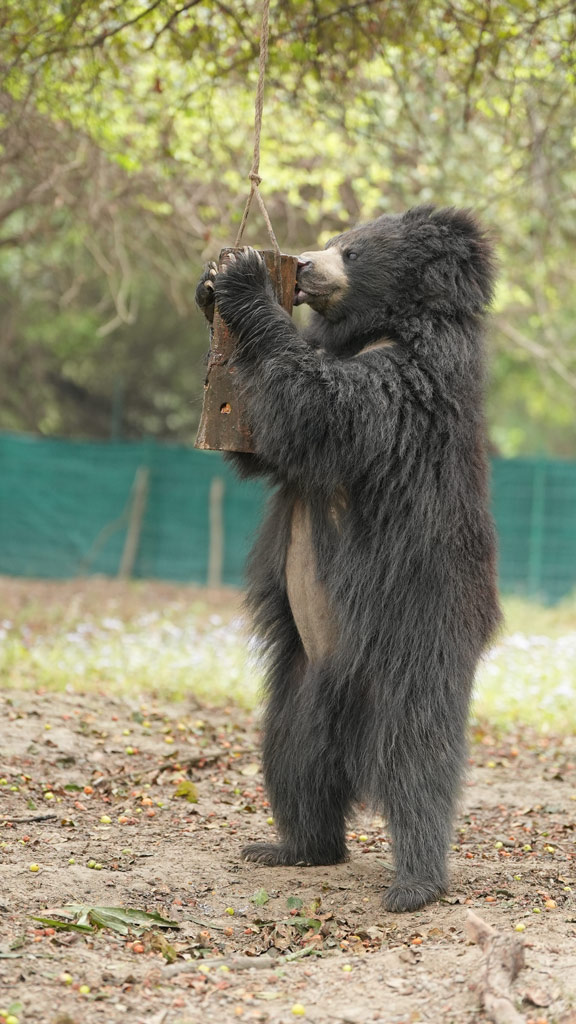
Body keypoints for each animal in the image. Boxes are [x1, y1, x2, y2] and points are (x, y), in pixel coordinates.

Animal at [195, 204, 502, 912]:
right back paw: (292, 848)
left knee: (418, 765)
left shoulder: (405, 388)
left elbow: (314, 406)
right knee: (291, 759)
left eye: (354, 253)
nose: (305, 266)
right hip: (300, 683)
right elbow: (270, 448)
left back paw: (414, 884)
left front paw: (246, 279)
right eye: (336, 240)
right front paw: (206, 290)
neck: (378, 329)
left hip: (418, 640)